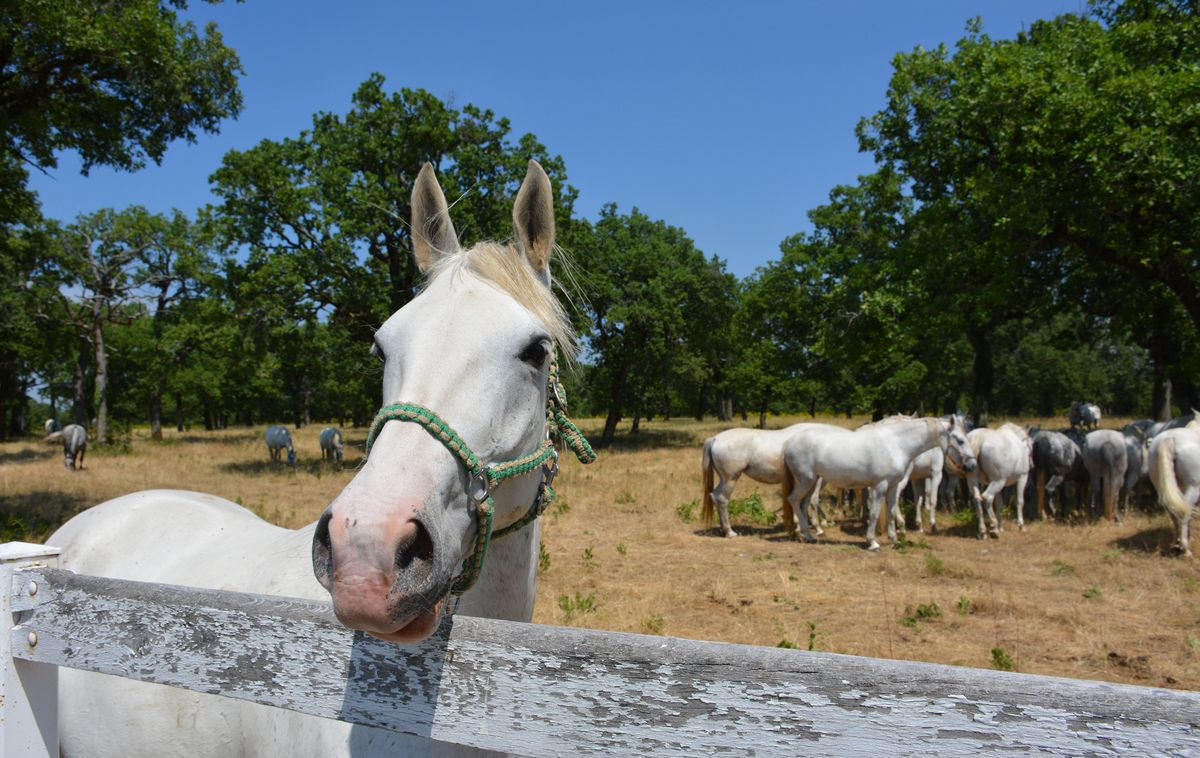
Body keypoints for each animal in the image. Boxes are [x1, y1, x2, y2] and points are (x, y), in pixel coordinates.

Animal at [700, 419, 840, 539]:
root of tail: (715, 438)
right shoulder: (816, 480)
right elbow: (813, 501)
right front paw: (817, 529)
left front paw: (800, 526)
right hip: (731, 480)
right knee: (722, 499)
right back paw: (730, 532)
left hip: (724, 480)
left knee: (714, 496)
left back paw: (722, 530)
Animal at [777, 417, 964, 546]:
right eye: (960, 440)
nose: (968, 464)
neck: (896, 444)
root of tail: (789, 442)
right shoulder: (880, 485)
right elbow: (874, 512)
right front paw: (873, 542)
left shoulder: (893, 485)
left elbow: (891, 510)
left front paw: (895, 539)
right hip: (806, 481)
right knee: (793, 499)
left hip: (811, 482)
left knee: (803, 504)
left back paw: (808, 535)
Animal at [1142, 417, 1200, 554]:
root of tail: (1168, 439)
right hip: (1193, 488)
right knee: (1184, 511)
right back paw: (1186, 549)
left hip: (1164, 488)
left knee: (1173, 510)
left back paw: (1178, 542)